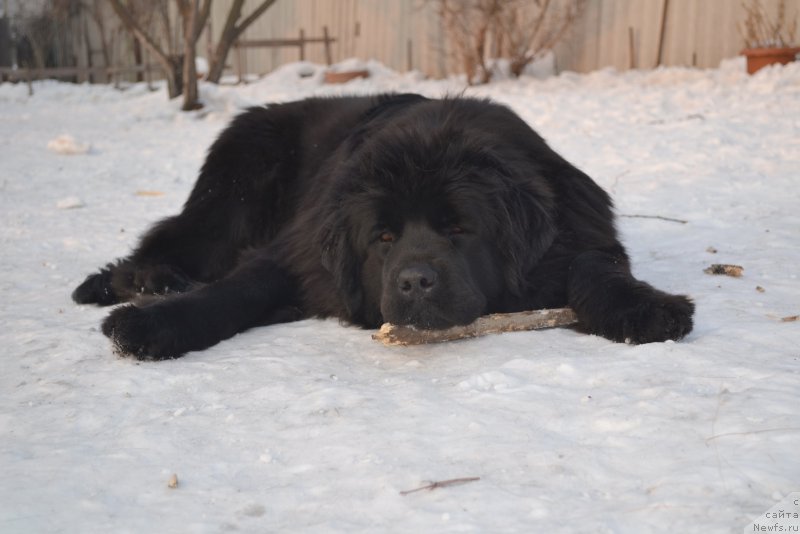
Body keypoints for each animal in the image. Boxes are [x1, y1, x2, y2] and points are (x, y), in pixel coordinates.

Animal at [75, 94, 692, 362]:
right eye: (383, 238)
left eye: (460, 229)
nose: (414, 282)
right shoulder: (300, 250)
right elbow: (238, 287)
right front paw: (151, 324)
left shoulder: (577, 226)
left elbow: (594, 266)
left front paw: (646, 308)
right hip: (233, 196)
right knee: (174, 238)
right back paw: (146, 281)